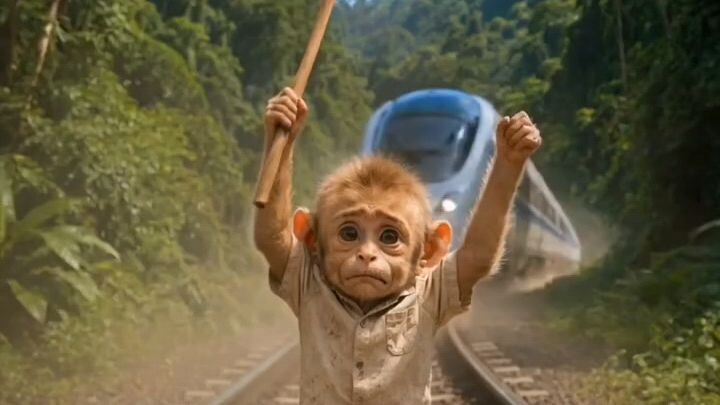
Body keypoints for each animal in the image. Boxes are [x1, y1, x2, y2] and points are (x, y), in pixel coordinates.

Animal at [254, 87, 542, 404]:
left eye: (389, 237)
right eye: (349, 233)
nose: (366, 256)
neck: (367, 306)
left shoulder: (439, 286)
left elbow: (479, 250)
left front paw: (515, 146)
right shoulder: (298, 273)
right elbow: (272, 236)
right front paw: (285, 114)